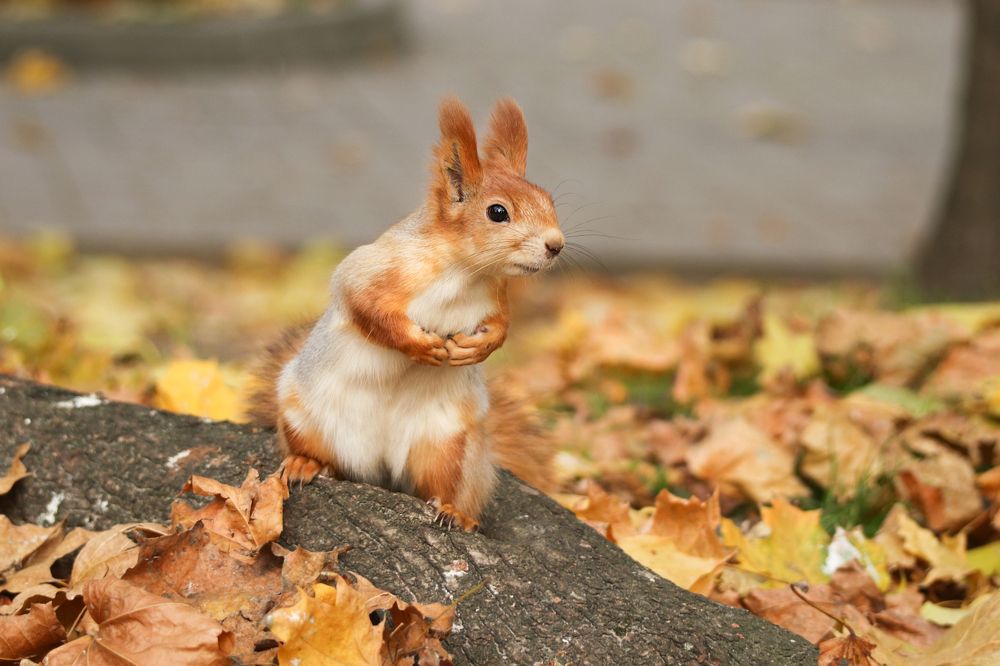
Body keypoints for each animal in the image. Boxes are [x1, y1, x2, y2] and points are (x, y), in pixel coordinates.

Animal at [246, 96, 564, 531]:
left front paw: (477, 349)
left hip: (446, 447)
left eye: (549, 201)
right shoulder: (370, 271)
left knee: (444, 484)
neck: (464, 273)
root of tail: (379, 466)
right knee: (322, 457)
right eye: (497, 212)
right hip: (304, 417)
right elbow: (367, 308)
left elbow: (501, 326)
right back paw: (303, 463)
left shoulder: (496, 296)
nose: (556, 245)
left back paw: (454, 512)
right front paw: (420, 345)